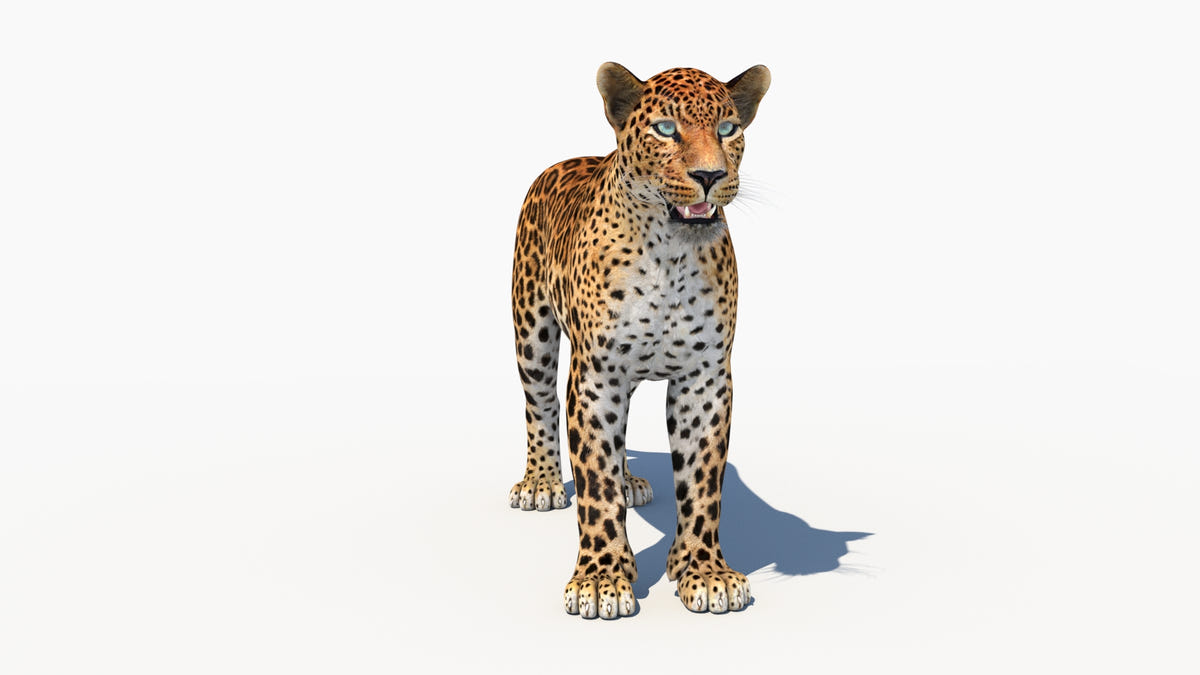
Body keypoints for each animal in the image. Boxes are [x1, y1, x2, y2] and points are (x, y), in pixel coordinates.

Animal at [508, 62, 770, 619]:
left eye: (728, 129)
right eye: (665, 129)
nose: (710, 176)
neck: (670, 254)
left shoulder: (705, 378)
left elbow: (702, 481)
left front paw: (704, 572)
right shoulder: (596, 377)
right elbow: (594, 481)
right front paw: (600, 579)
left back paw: (630, 484)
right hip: (532, 332)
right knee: (539, 406)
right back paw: (541, 482)